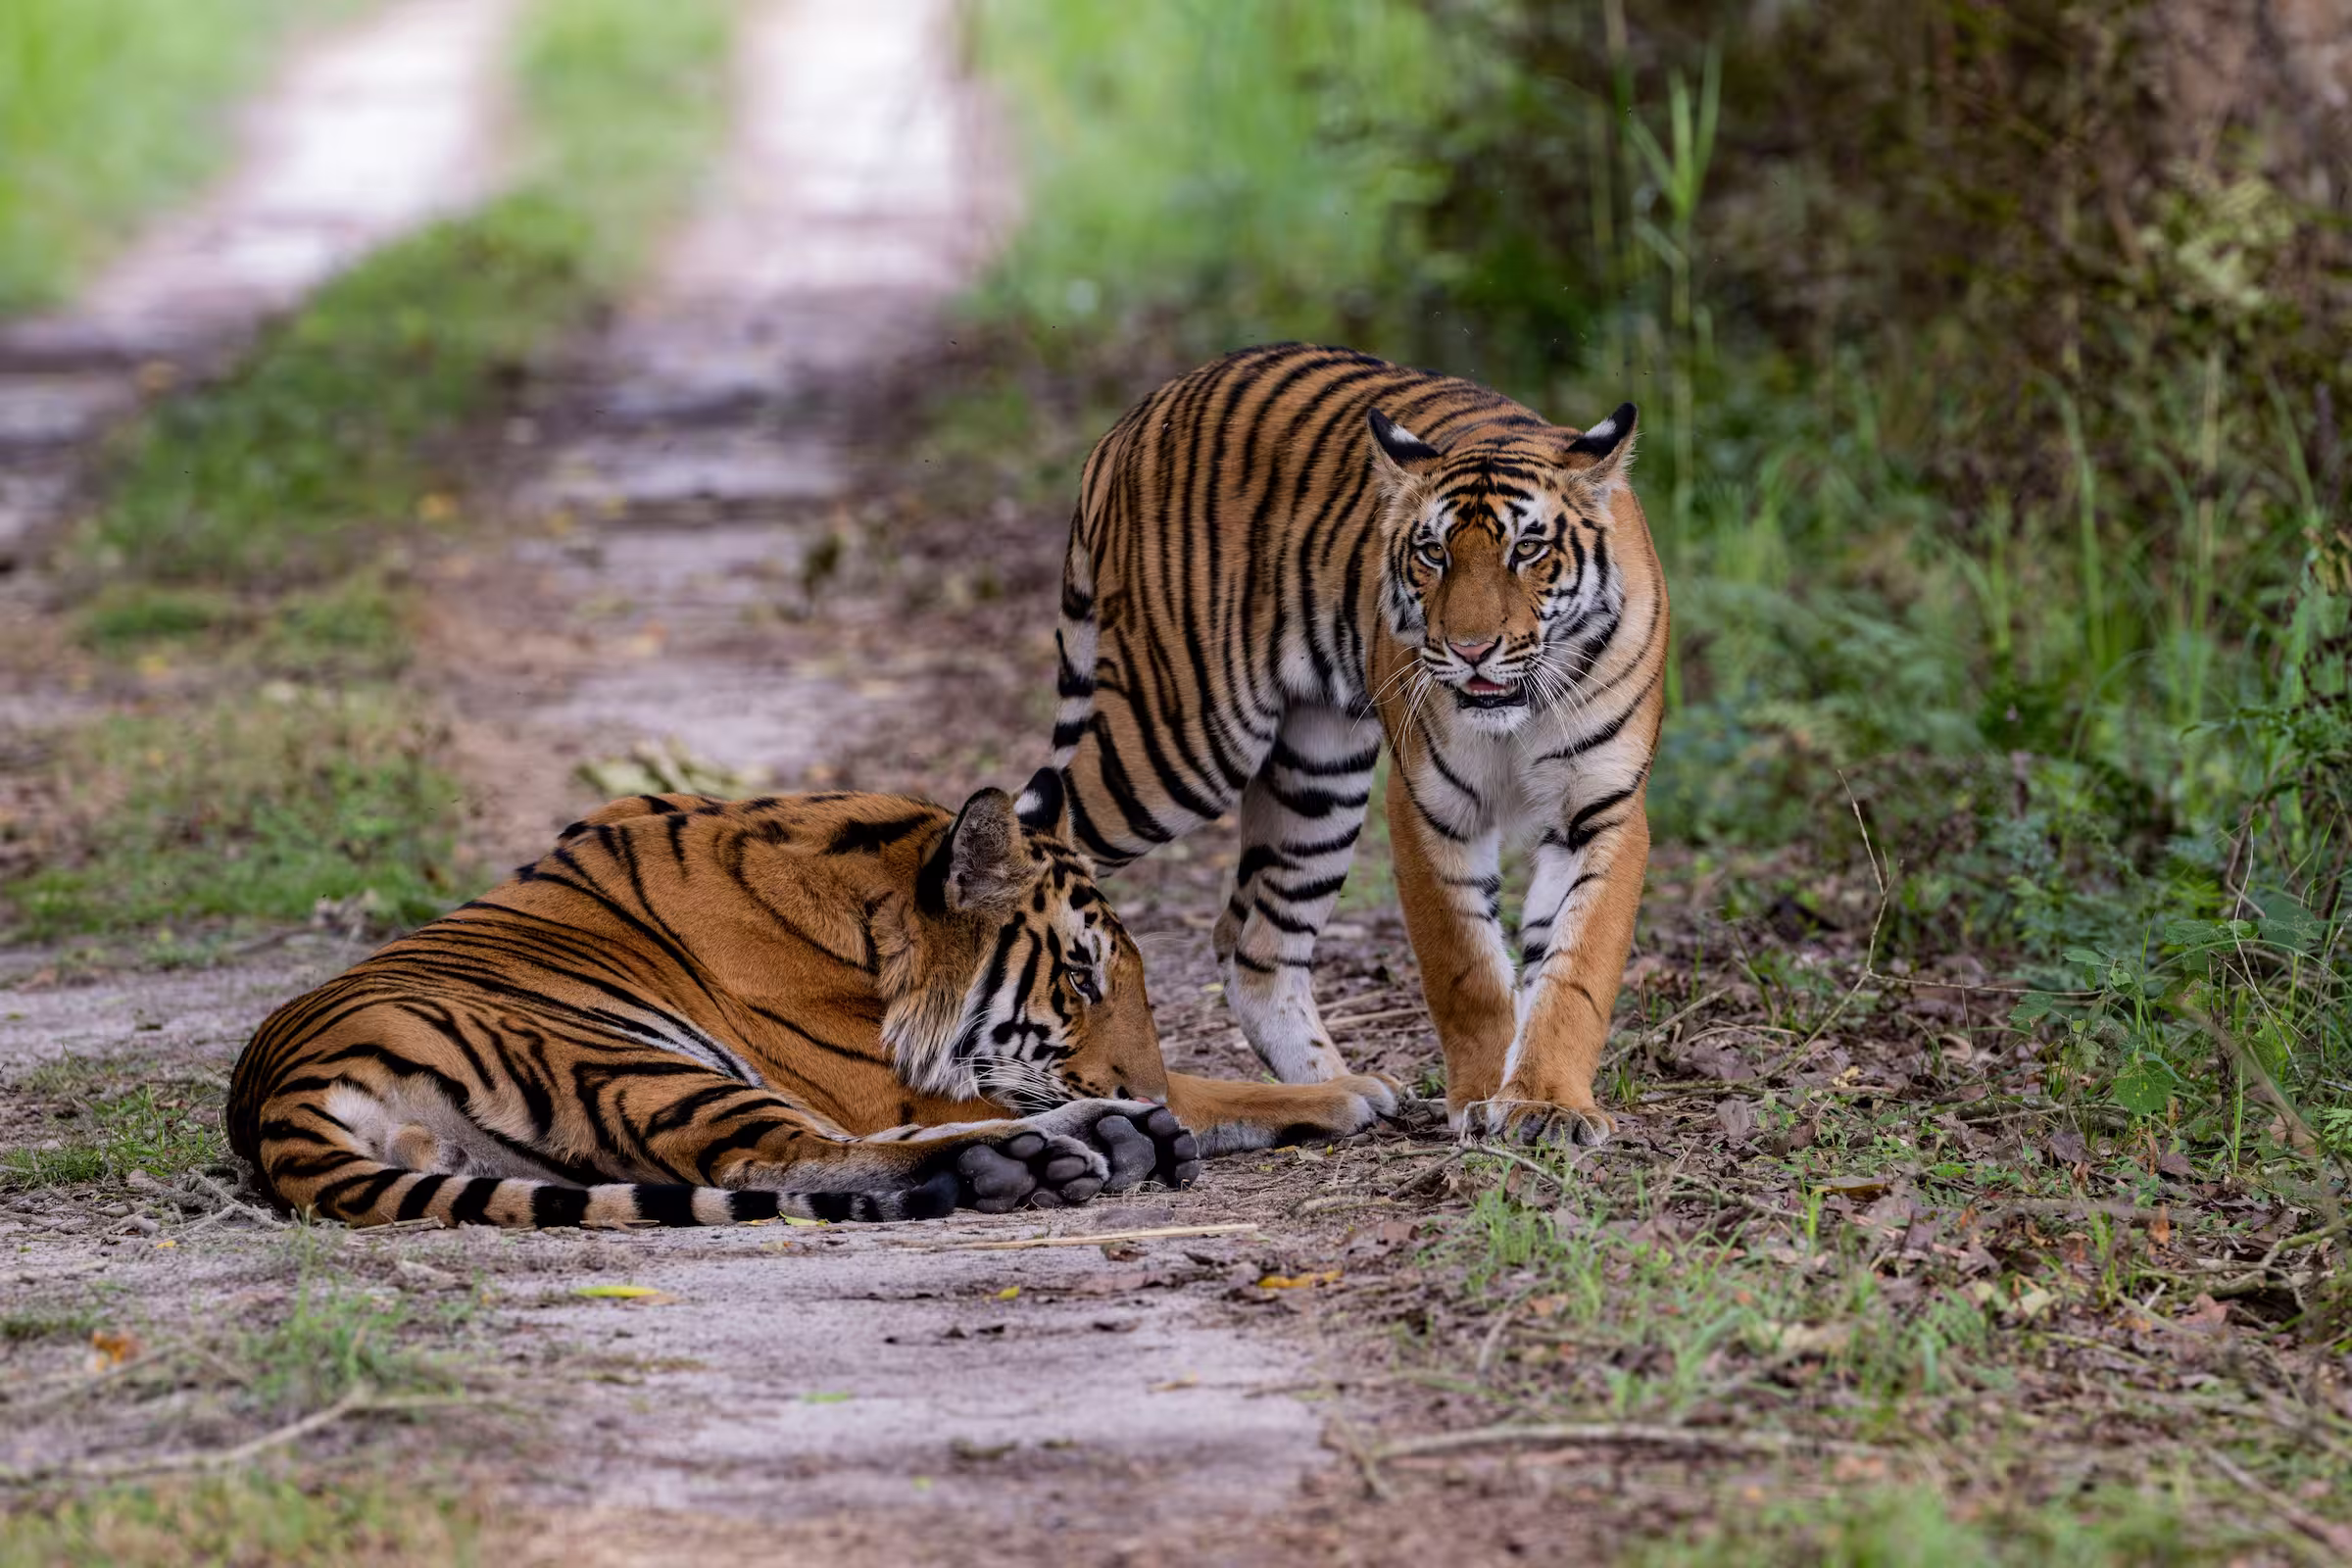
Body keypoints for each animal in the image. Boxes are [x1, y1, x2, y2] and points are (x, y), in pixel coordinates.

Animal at [228, 787, 1402, 1229]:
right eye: (1078, 978)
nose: (1133, 1080)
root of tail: (279, 1093)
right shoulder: (892, 1083)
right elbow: (1194, 1091)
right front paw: (1343, 1090)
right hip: (632, 1055)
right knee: (790, 1155)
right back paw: (1079, 1145)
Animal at [1014, 342, 1667, 1147]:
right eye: (1432, 552)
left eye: (1528, 549)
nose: (1471, 650)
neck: (1521, 709)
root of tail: (1135, 420)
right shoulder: (1427, 804)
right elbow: (1468, 969)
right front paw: (1483, 1097)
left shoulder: (1602, 807)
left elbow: (1574, 969)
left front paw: (1547, 1104)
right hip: (1178, 743)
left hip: (1315, 771)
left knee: (1254, 944)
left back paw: (1334, 1092)